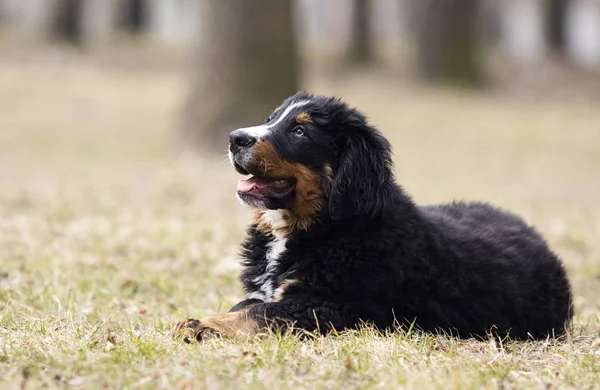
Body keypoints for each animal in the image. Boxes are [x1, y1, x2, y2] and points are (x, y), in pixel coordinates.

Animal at [173, 91, 572, 342]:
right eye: (270, 120)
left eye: (299, 130)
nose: (235, 138)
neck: (327, 226)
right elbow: (248, 304)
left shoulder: (335, 306)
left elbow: (261, 314)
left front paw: (202, 325)